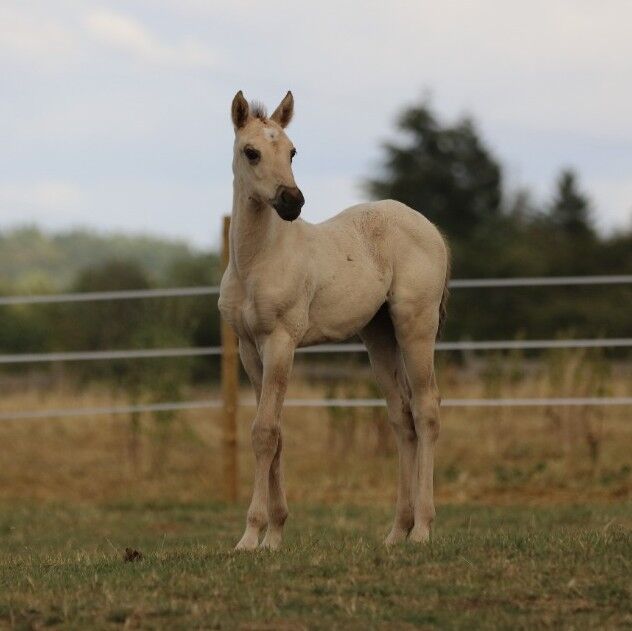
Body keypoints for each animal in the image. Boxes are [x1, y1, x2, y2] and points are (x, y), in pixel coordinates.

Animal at [217, 91, 450, 552]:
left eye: (292, 151)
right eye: (251, 152)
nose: (292, 201)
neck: (257, 261)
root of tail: (430, 228)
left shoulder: (281, 341)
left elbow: (264, 432)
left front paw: (253, 536)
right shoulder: (250, 349)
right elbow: (275, 434)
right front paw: (275, 532)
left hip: (415, 325)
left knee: (427, 411)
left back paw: (422, 529)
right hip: (379, 335)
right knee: (401, 418)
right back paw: (396, 530)